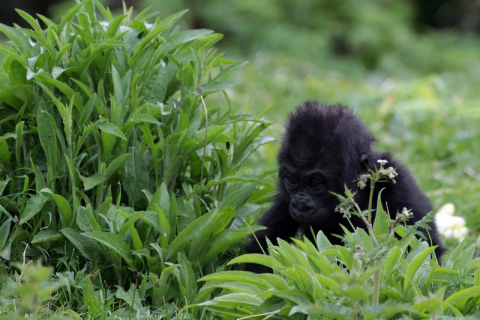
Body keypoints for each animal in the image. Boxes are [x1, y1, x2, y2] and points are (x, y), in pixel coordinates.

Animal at [246, 101, 444, 272]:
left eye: (314, 183)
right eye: (291, 180)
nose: (299, 202)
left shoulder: (401, 190)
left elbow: (426, 250)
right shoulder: (285, 197)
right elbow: (260, 248)